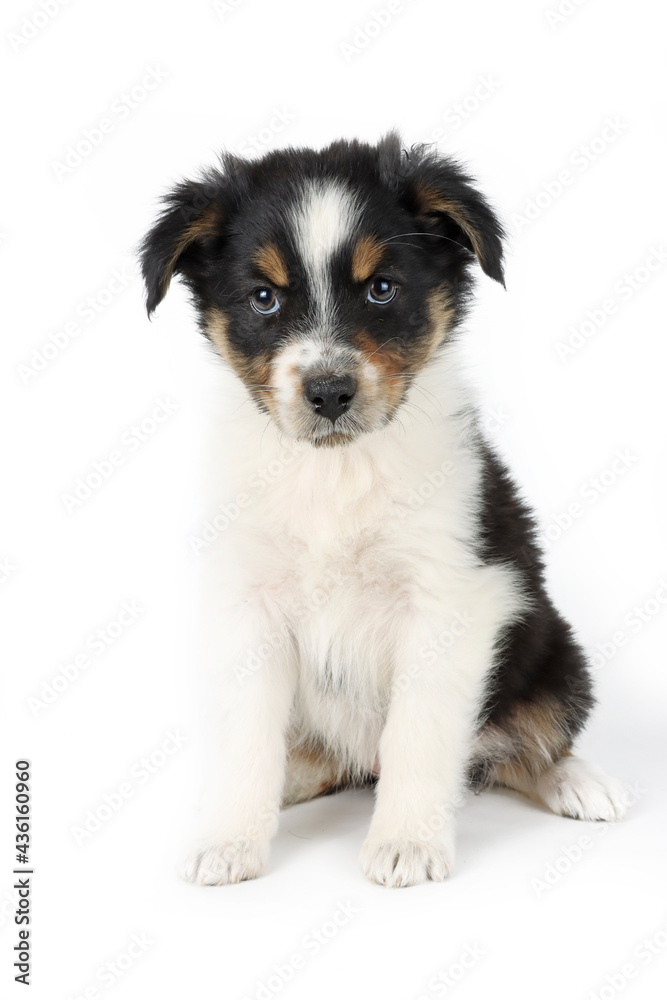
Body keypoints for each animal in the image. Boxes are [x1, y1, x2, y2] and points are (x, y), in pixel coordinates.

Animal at [140, 129, 628, 888]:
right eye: (262, 298)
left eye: (381, 288)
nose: (329, 392)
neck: (335, 471)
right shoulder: (251, 601)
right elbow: (247, 734)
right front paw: (228, 838)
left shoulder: (448, 599)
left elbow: (418, 734)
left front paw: (407, 843)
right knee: (321, 760)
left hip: (555, 655)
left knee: (523, 745)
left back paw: (579, 782)